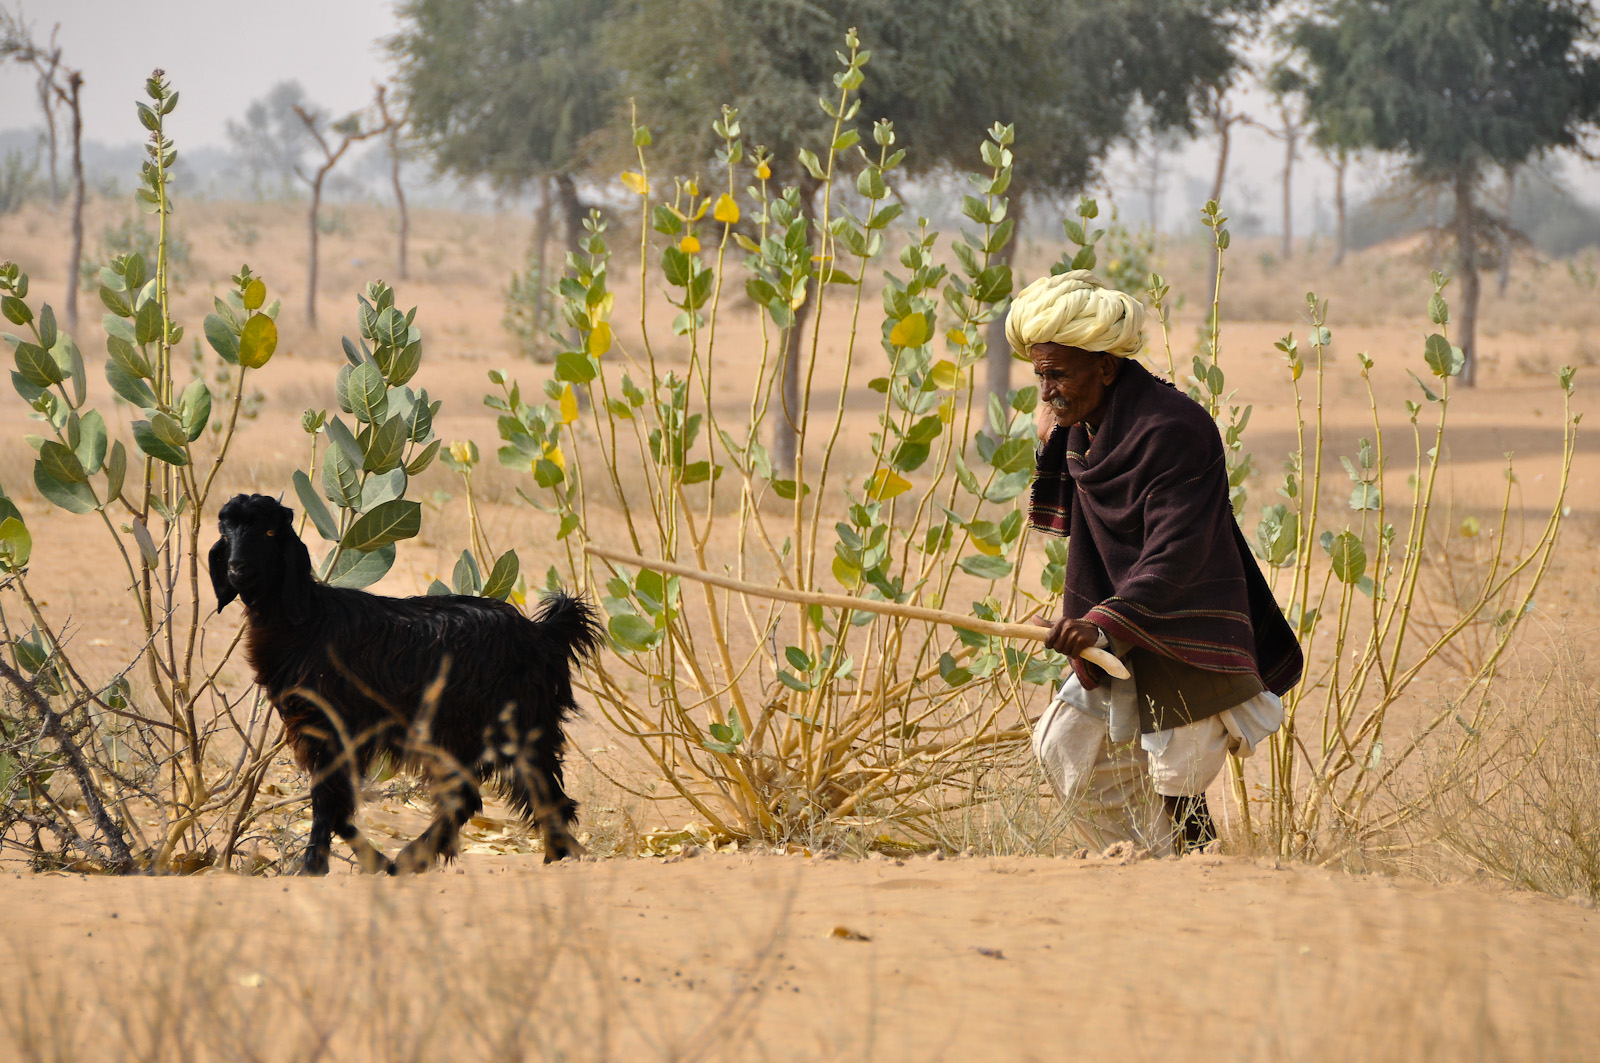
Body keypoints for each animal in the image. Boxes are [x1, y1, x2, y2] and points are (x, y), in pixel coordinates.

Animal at [209, 493, 601, 877]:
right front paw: (368, 862)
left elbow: (327, 800)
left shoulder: (331, 725)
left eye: (271, 532)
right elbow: (335, 804)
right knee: (531, 793)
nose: (237, 569)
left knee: (481, 796)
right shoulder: (318, 728)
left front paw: (313, 867)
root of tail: (543, 633)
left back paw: (417, 858)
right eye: (226, 532)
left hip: (476, 726)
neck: (307, 620)